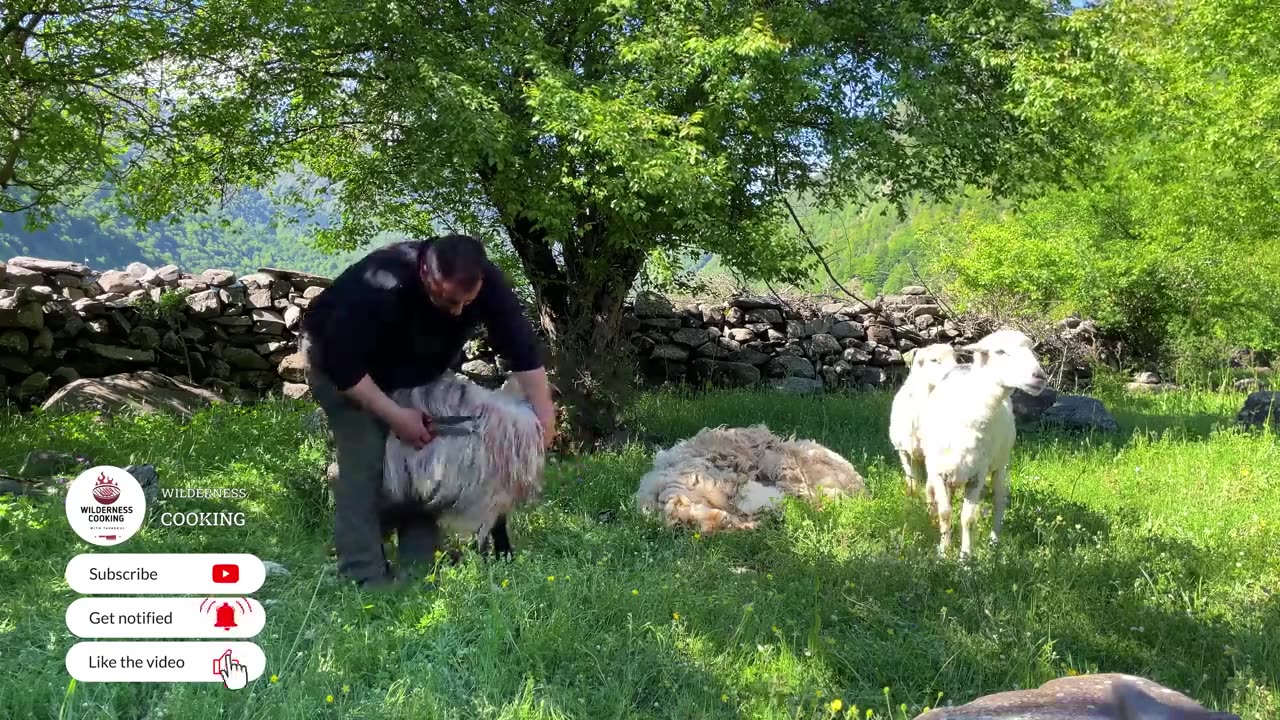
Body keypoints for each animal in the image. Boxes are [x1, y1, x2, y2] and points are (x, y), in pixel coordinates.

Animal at [921, 327, 1049, 558]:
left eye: (1031, 349)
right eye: (1000, 351)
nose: (1039, 377)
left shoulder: (977, 473)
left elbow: (968, 518)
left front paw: (965, 557)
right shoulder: (938, 472)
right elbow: (945, 513)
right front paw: (943, 552)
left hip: (1000, 465)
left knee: (999, 501)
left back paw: (994, 542)